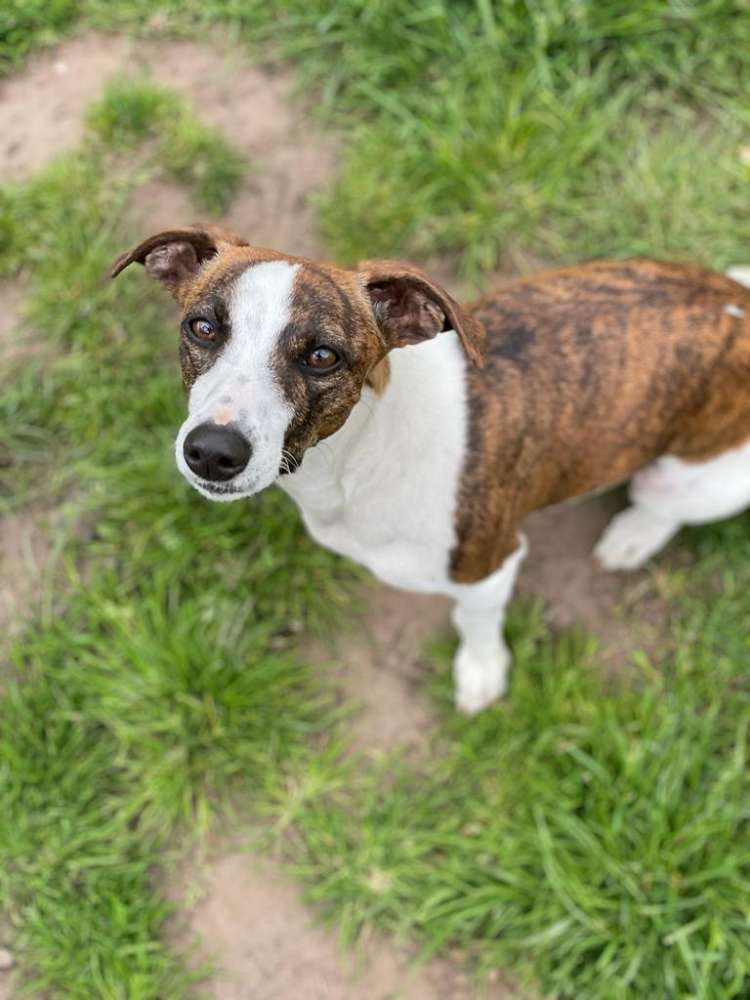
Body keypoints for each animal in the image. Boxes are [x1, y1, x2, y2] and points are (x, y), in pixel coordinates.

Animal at [110, 227, 750, 712]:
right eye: (202, 327)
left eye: (323, 356)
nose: (212, 451)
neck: (358, 457)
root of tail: (738, 301)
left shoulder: (488, 565)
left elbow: (476, 623)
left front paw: (482, 673)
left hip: (695, 478)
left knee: (664, 505)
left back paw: (633, 534)